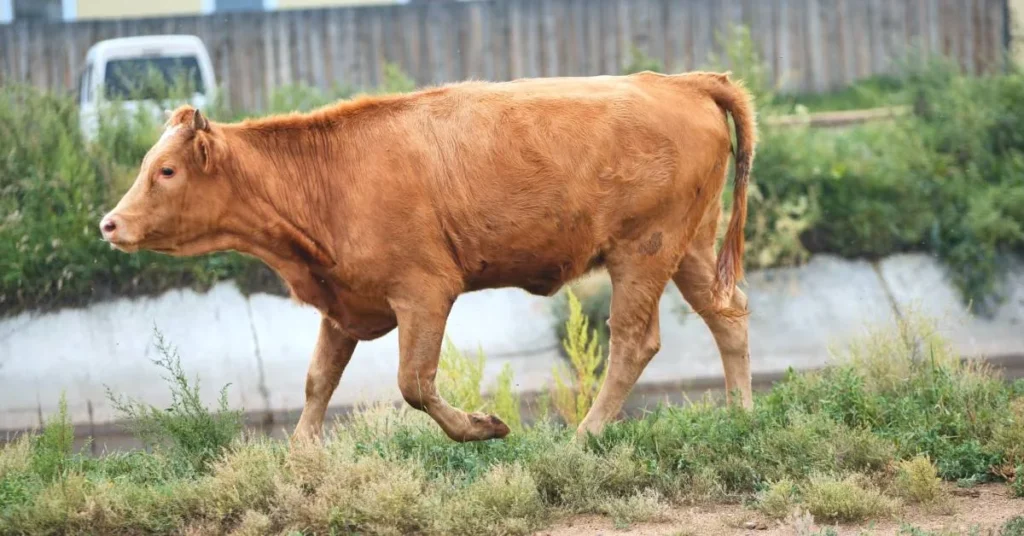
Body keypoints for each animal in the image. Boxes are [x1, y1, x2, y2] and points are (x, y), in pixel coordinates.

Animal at [99, 70, 757, 444]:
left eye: (167, 170)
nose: (110, 223)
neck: (329, 176)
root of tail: (682, 80)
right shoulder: (345, 305)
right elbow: (317, 381)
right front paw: (300, 456)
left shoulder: (424, 291)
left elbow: (413, 382)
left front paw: (484, 428)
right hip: (691, 247)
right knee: (729, 316)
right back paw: (738, 417)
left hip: (643, 250)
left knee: (633, 340)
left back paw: (585, 435)